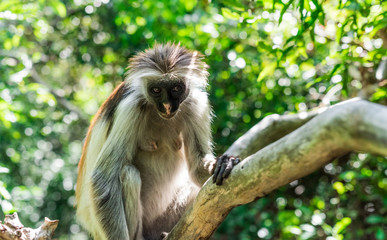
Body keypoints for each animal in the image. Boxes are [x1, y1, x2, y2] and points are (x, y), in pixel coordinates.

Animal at [75, 43, 239, 240]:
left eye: (176, 88)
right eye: (156, 90)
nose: (167, 106)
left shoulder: (195, 103)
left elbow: (197, 167)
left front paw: (223, 163)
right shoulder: (131, 107)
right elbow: (103, 178)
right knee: (128, 174)